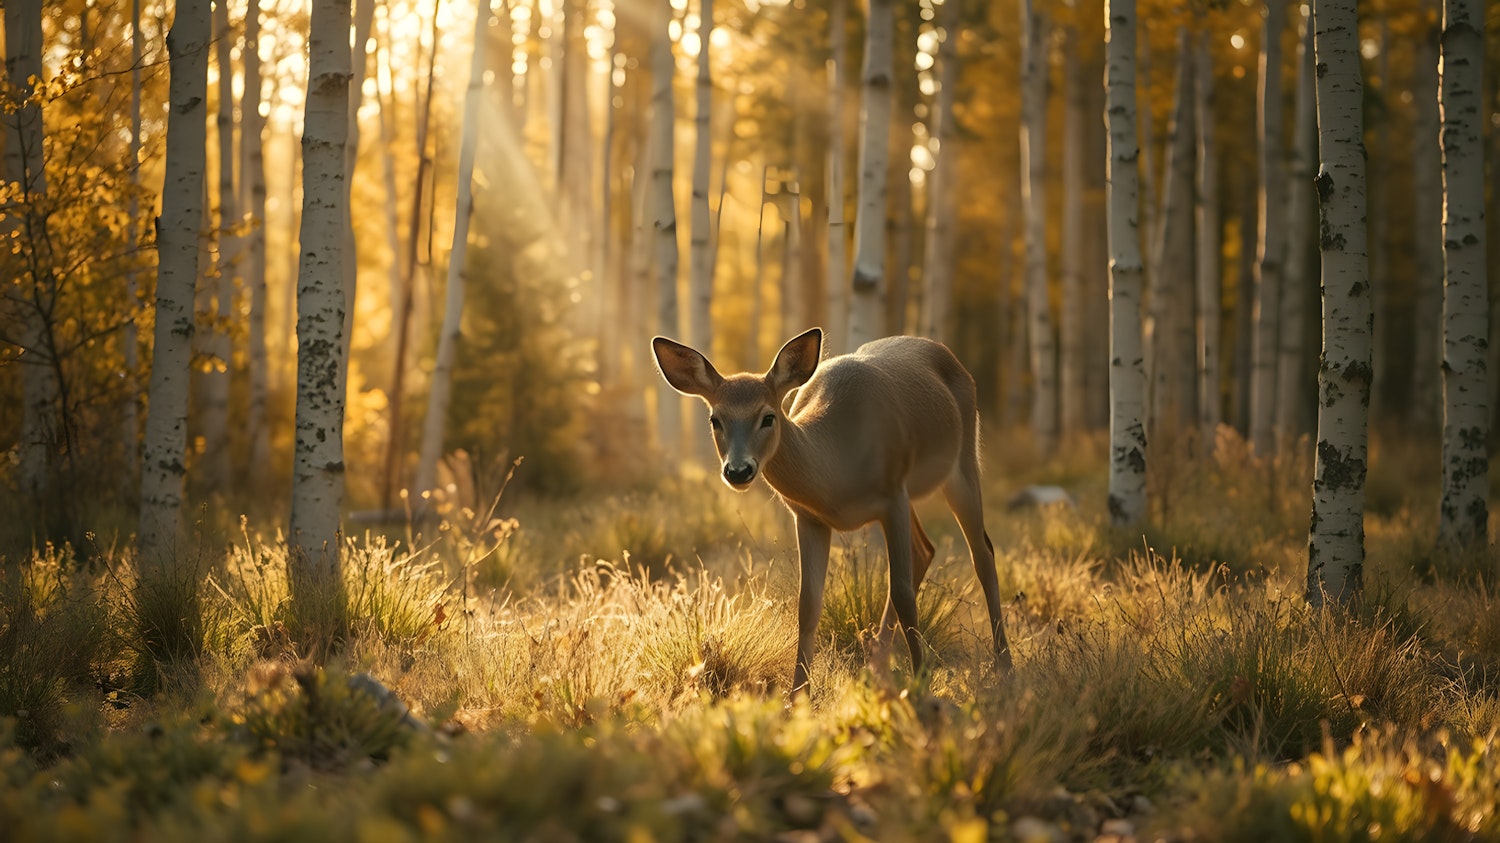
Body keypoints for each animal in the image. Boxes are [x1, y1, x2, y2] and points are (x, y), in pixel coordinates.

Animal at [654, 325, 1014, 693]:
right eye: (715, 420)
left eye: (768, 417)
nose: (738, 470)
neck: (836, 474)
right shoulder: (809, 518)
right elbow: (808, 604)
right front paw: (797, 695)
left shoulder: (893, 495)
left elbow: (902, 593)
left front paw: (921, 686)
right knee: (925, 549)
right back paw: (876, 665)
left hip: (962, 462)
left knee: (982, 552)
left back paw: (1004, 666)